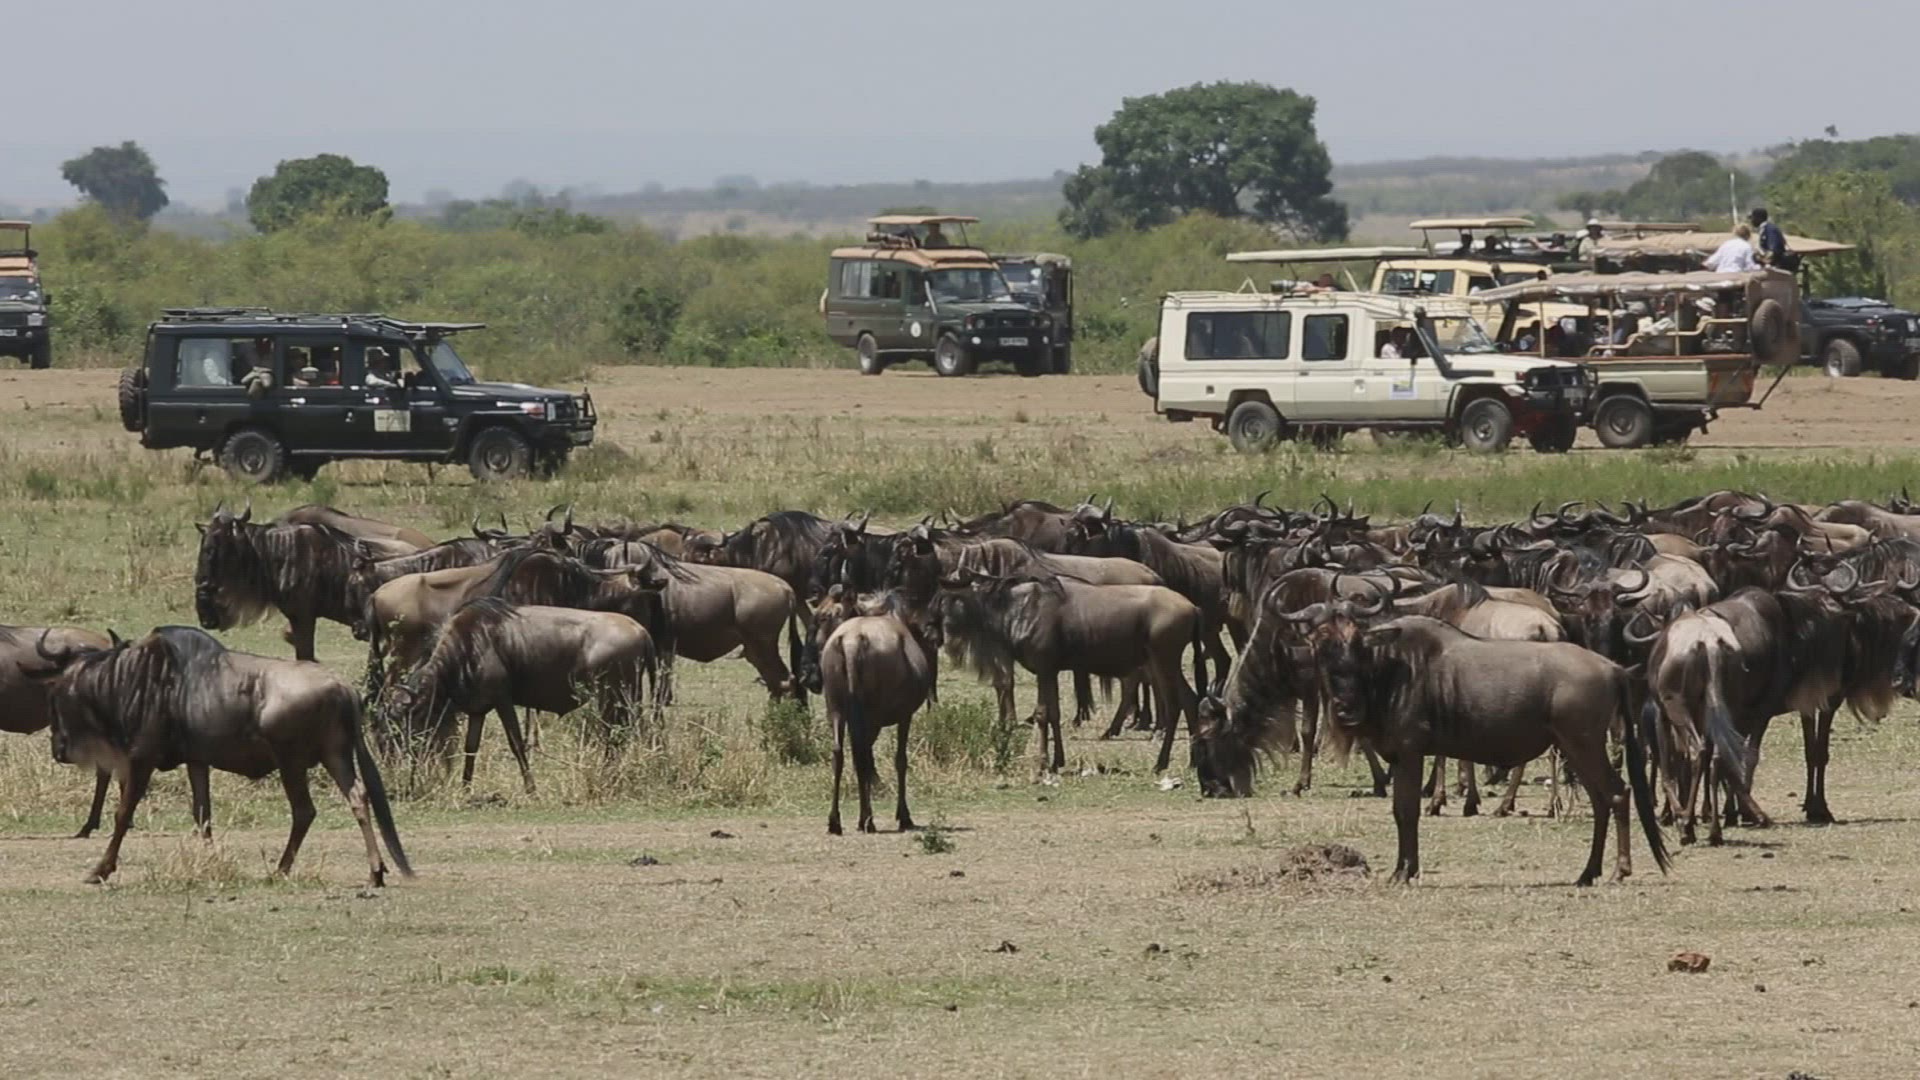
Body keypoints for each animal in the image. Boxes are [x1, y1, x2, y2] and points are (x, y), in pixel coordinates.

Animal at [34, 627, 410, 888]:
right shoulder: (197, 761)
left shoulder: (142, 759)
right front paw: (210, 864)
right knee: (358, 797)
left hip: (292, 762)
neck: (131, 679)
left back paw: (280, 870)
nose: (59, 750)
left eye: (55, 696)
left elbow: (123, 813)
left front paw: (100, 870)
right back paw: (375, 872)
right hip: (336, 756)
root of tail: (344, 688)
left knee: (304, 810)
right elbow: (203, 815)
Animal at [384, 599, 658, 792]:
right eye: (397, 720)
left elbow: (516, 743)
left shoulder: (503, 701)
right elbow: (471, 748)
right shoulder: (478, 710)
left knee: (619, 735)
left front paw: (531, 789)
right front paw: (465, 787)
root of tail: (641, 630)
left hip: (614, 697)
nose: (409, 760)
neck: (468, 645)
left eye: (415, 716)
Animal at [1198, 609, 1670, 886]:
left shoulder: (1410, 752)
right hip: (1574, 749)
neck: (1388, 672)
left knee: (1617, 794)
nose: (1346, 708)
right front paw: (1406, 868)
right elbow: (1402, 811)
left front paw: (1403, 872)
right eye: (1320, 649)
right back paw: (1587, 873)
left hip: (1583, 744)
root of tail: (1612, 668)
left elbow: (1405, 810)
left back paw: (1618, 871)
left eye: (1356, 647)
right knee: (1603, 800)